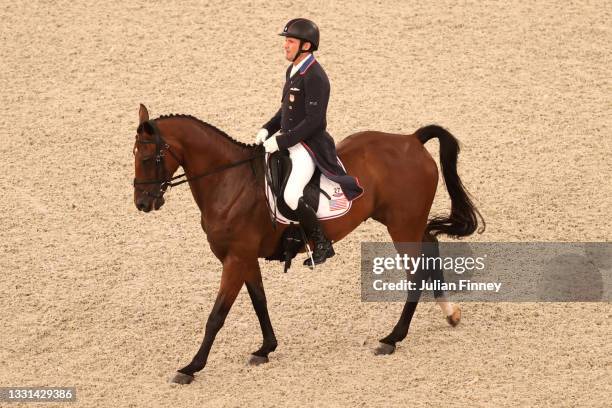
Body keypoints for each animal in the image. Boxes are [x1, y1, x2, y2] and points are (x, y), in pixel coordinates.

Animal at [133, 103, 482, 384]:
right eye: (135, 155)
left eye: (150, 157)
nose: (142, 203)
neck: (229, 182)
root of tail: (410, 139)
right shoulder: (246, 258)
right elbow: (259, 301)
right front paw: (265, 348)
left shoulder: (235, 258)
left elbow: (216, 316)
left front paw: (191, 367)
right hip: (407, 223)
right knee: (431, 248)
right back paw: (450, 313)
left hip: (402, 227)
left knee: (416, 272)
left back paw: (393, 338)